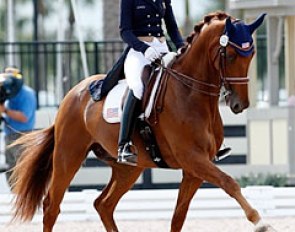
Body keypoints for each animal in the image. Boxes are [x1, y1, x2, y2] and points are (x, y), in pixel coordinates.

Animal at [9, 12, 278, 232]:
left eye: (251, 54)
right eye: (230, 55)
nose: (239, 104)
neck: (191, 93)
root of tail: (72, 93)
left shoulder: (194, 170)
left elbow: (178, 217)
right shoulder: (193, 159)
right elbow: (229, 183)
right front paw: (261, 222)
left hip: (128, 168)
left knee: (103, 204)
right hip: (68, 156)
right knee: (51, 205)